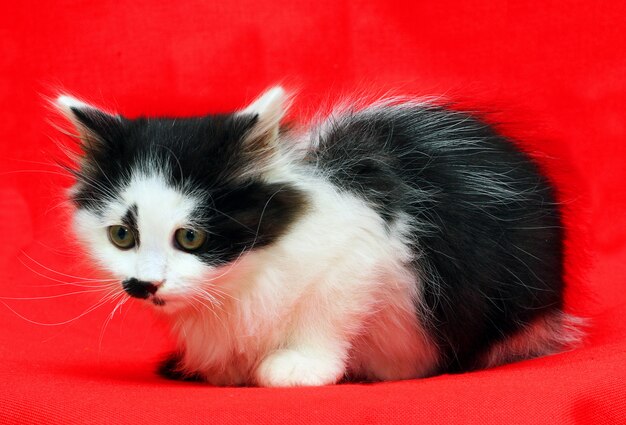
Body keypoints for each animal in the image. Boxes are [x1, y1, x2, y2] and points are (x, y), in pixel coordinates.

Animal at [56, 88, 584, 386]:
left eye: (189, 237)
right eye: (122, 235)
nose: (144, 284)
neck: (241, 281)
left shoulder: (365, 256)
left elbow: (325, 314)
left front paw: (296, 368)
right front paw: (222, 371)